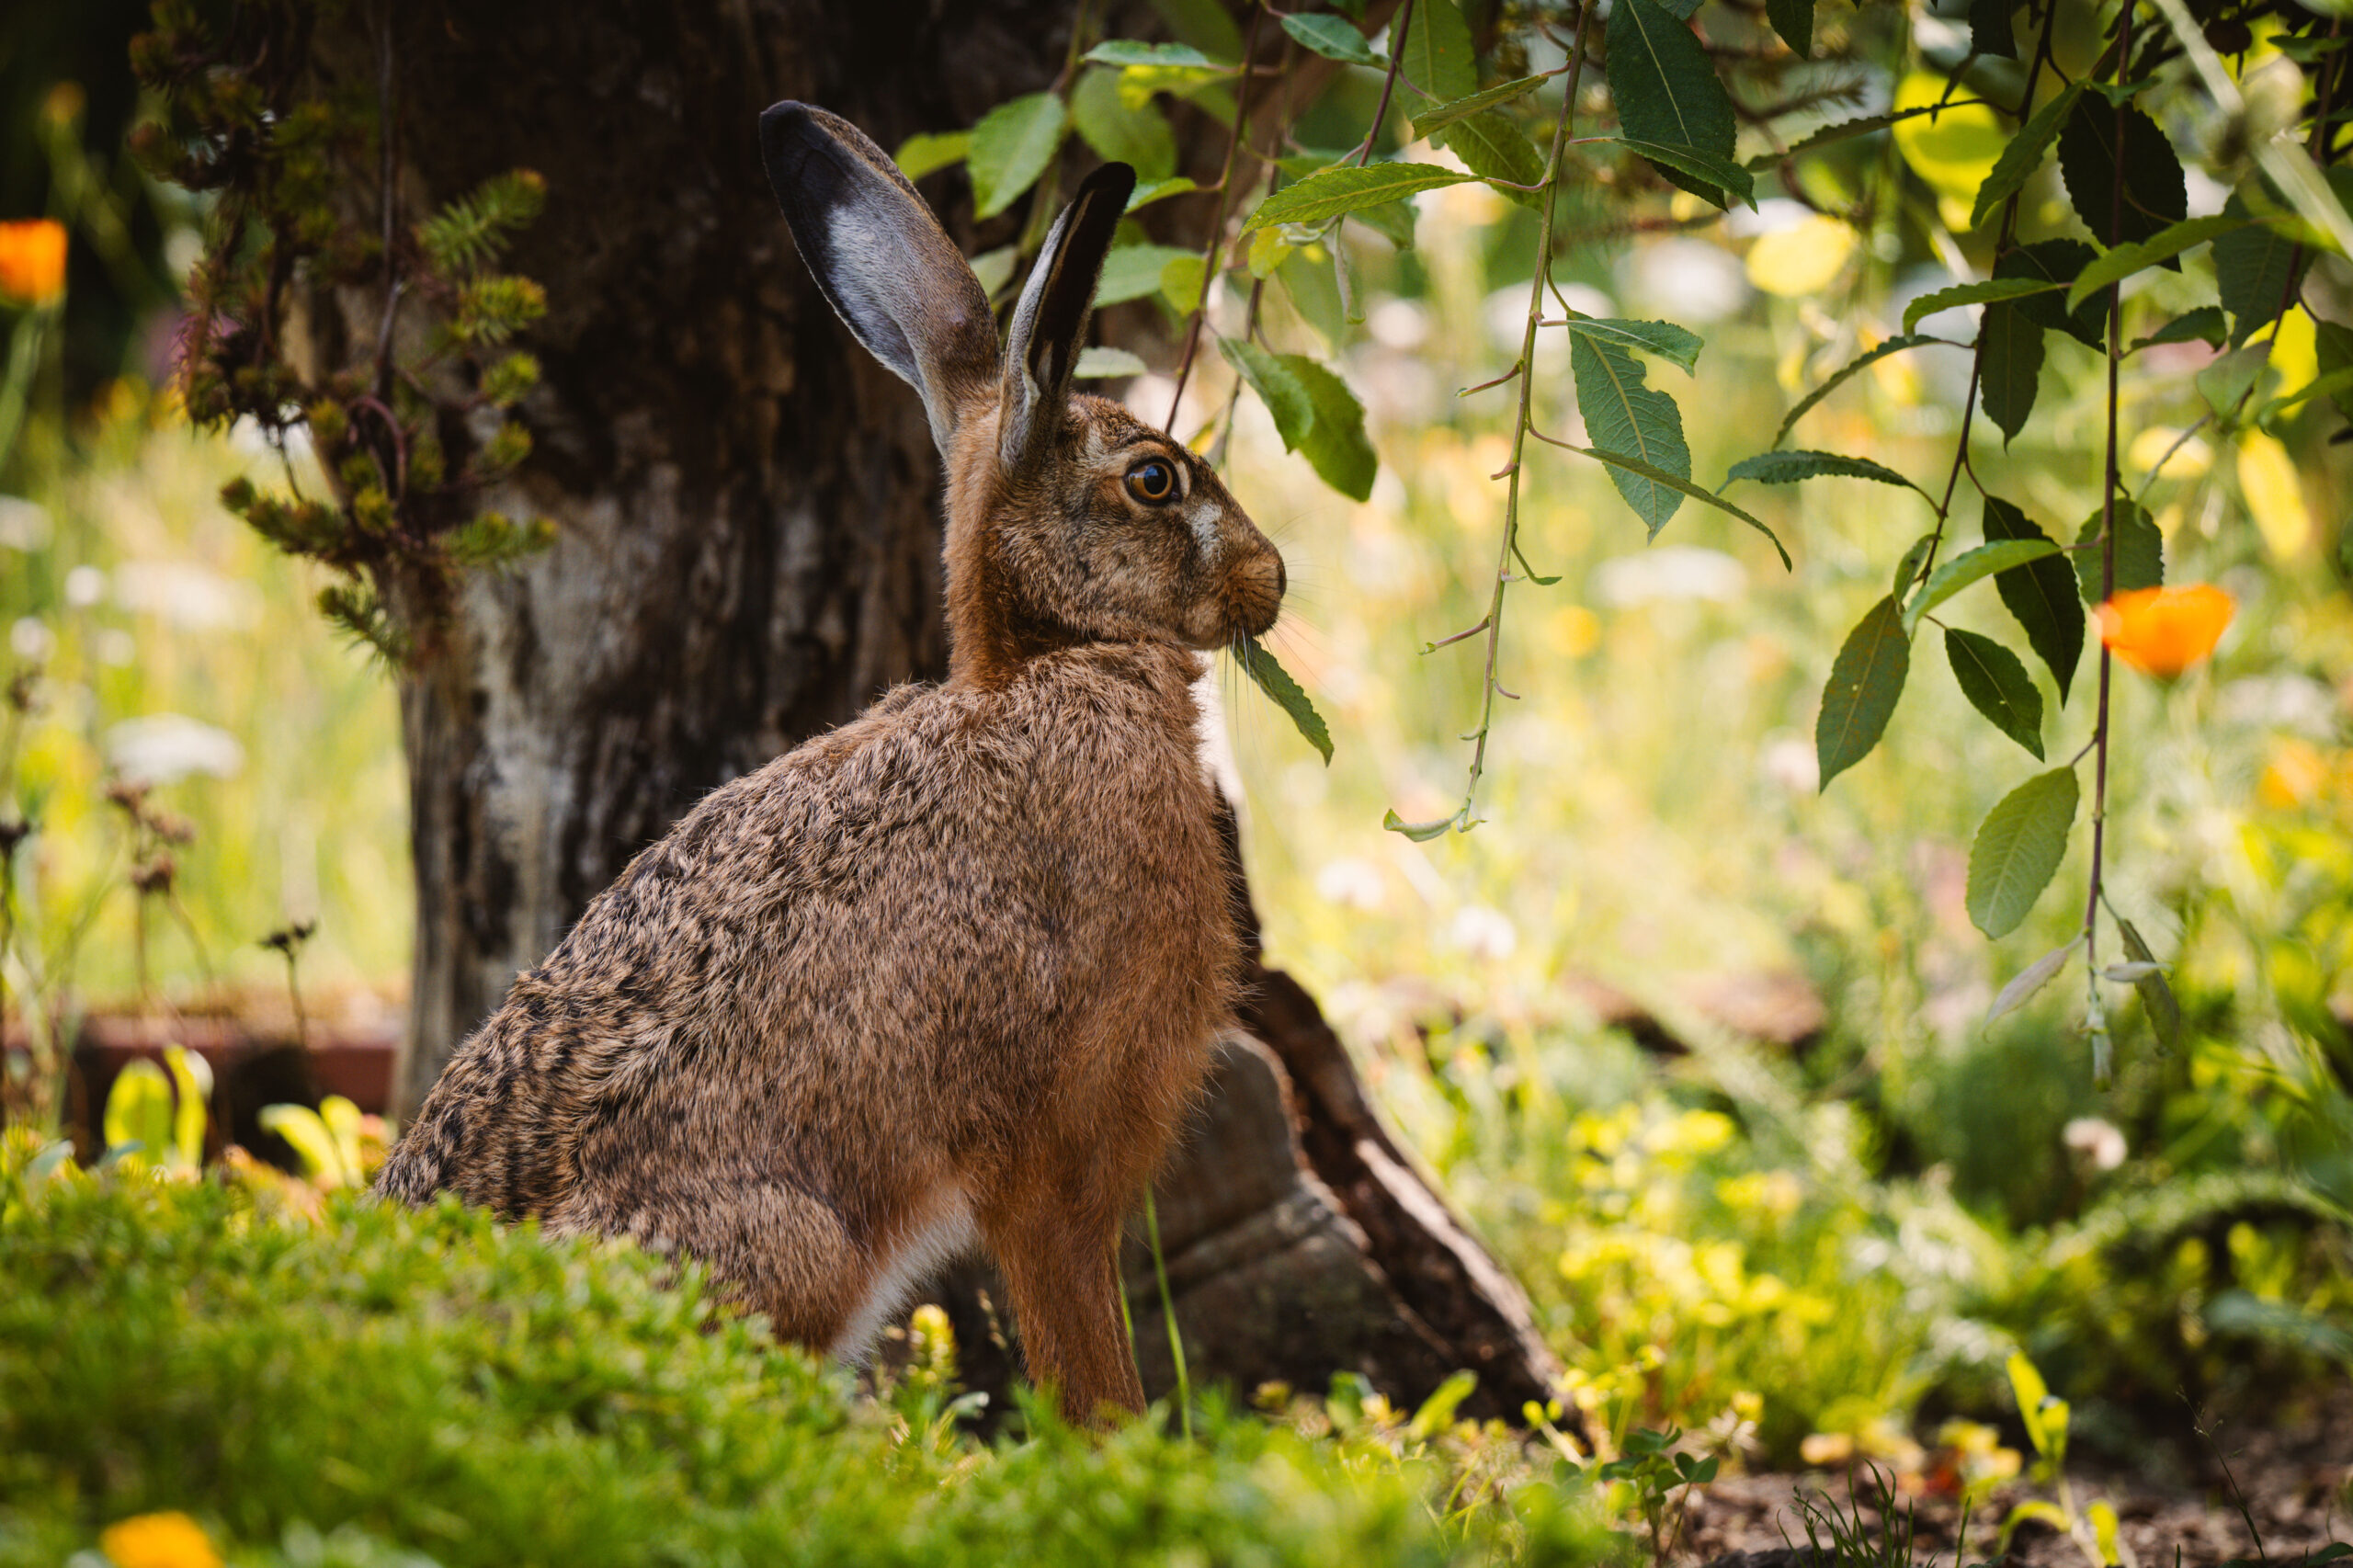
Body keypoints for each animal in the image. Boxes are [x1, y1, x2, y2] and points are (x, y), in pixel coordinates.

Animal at [374, 102, 1287, 1425]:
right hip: (793, 1240)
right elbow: (1079, 1340)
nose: (1274, 580)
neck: (1056, 663)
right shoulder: (1061, 1158)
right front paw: (1122, 1445)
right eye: (1155, 480)